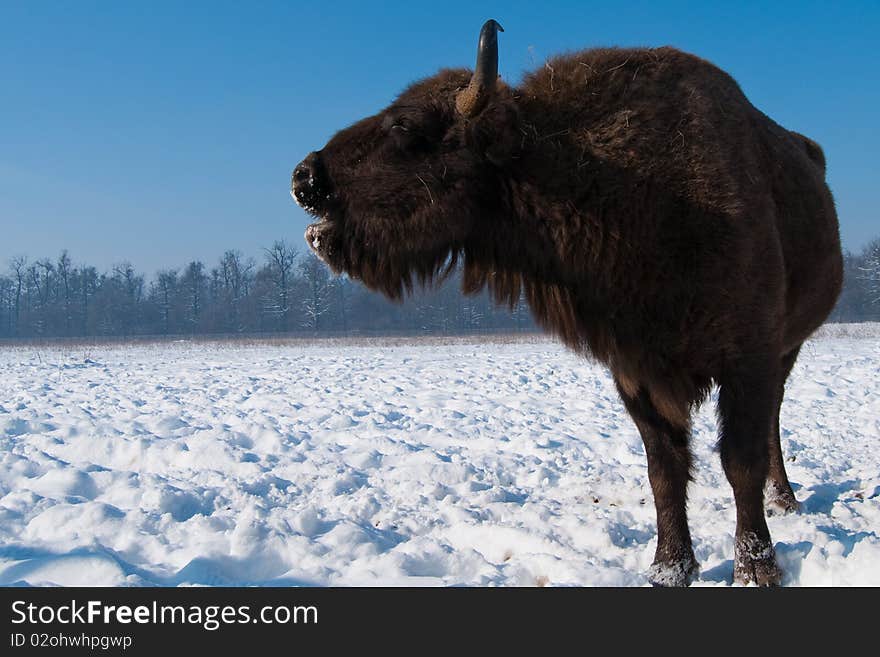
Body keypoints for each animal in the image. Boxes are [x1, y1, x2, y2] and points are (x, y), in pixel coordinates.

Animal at [292, 19, 844, 584]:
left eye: (405, 126)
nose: (305, 176)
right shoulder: (635, 374)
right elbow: (664, 467)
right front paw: (669, 566)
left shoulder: (747, 362)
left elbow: (740, 462)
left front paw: (757, 568)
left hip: (787, 349)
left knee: (773, 424)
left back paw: (784, 500)